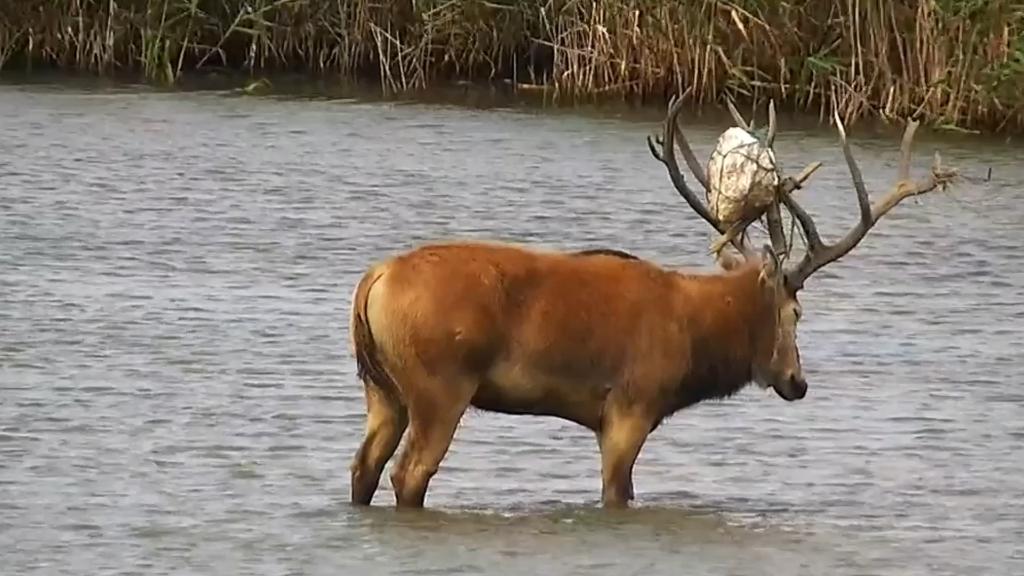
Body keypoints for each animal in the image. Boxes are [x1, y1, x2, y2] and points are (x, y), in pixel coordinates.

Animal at [348, 90, 954, 506]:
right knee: (408, 474)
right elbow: (620, 494)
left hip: (383, 390)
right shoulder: (630, 406)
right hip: (441, 385)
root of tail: (372, 282)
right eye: (797, 312)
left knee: (363, 470)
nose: (797, 381)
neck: (695, 338)